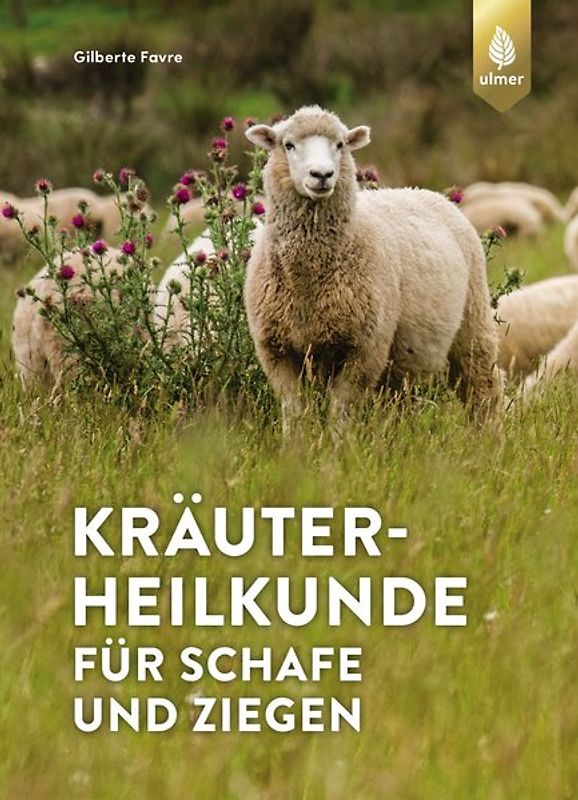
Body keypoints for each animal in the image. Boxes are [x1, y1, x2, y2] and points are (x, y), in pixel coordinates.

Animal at [243, 105, 502, 432]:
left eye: (340, 144)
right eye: (288, 145)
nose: (322, 175)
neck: (308, 283)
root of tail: (423, 191)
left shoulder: (365, 349)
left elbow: (341, 411)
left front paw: (338, 444)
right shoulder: (276, 349)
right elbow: (295, 411)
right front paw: (296, 445)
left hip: (472, 322)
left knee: (483, 384)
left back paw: (490, 434)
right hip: (405, 359)